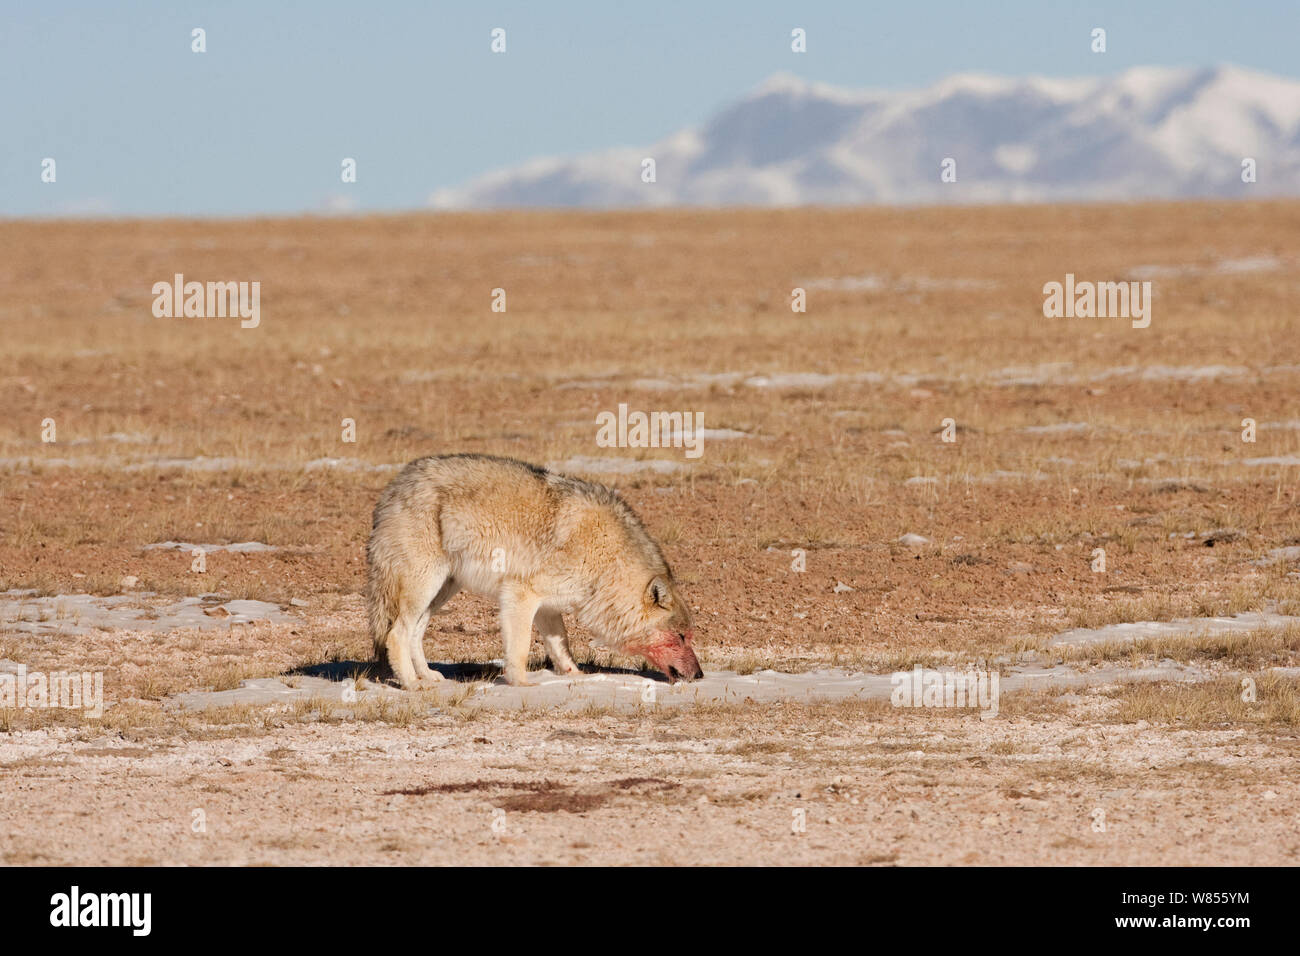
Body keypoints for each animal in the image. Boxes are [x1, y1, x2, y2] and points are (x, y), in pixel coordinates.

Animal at [366, 455, 702, 686]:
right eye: (681, 637)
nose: (700, 675)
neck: (606, 557)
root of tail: (391, 490)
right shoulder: (520, 596)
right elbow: (519, 649)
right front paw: (523, 685)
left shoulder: (549, 607)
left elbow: (562, 646)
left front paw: (578, 678)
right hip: (425, 585)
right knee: (396, 635)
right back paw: (412, 684)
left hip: (441, 590)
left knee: (414, 634)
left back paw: (427, 676)